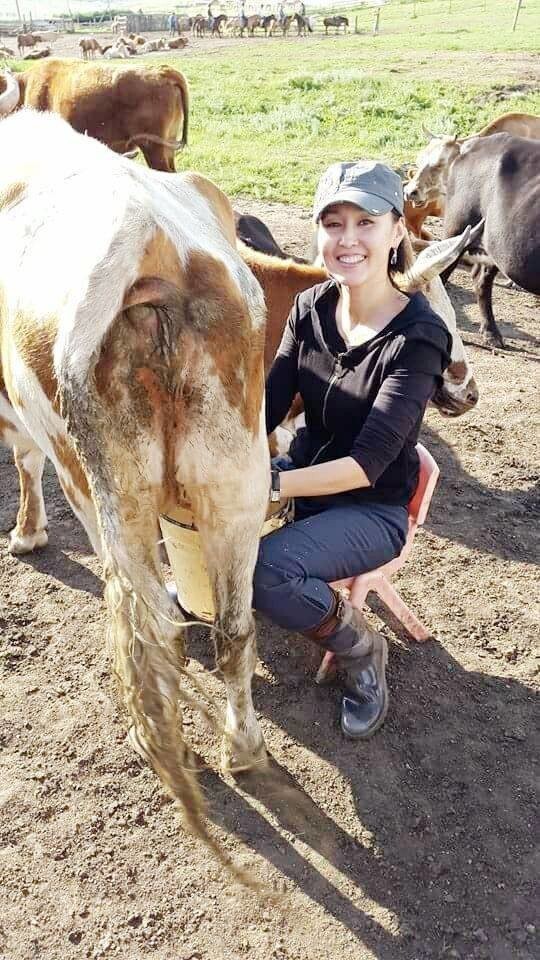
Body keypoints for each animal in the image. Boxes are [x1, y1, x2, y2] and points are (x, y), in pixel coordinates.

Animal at [0, 110, 268, 872]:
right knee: (231, 627)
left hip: (108, 486)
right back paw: (242, 748)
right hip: (235, 478)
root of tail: (150, 244)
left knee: (152, 630)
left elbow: (22, 461)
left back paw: (157, 743)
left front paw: (26, 534)